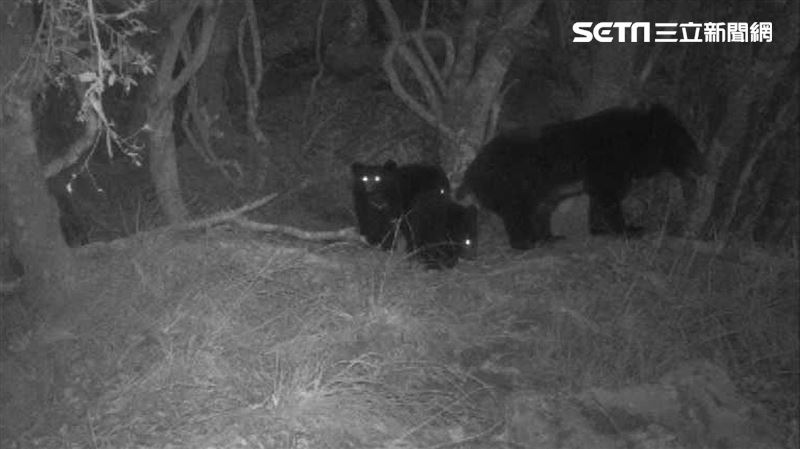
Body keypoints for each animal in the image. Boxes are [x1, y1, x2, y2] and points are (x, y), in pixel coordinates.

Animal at [458, 103, 706, 250]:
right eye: (688, 147)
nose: (703, 167)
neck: (634, 145)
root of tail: (471, 171)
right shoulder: (607, 161)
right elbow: (608, 196)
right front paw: (629, 229)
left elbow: (600, 197)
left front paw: (600, 230)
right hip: (512, 180)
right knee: (517, 211)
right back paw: (526, 242)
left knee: (540, 210)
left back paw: (549, 238)